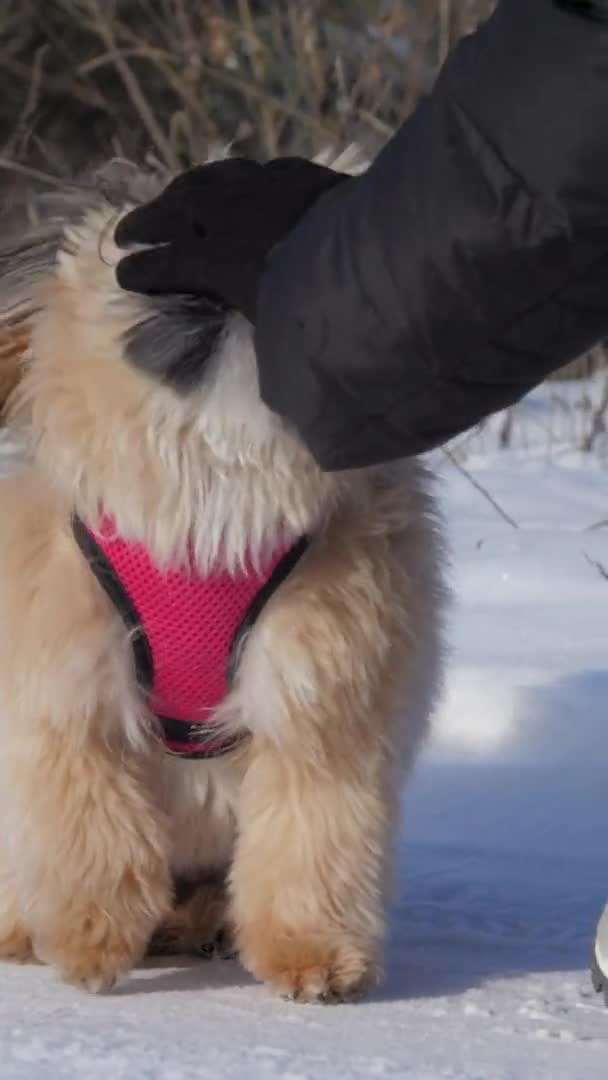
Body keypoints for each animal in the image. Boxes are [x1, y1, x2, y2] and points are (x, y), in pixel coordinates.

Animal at [0, 159, 447, 1002]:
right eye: (151, 245)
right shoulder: (75, 703)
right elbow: (92, 832)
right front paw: (89, 941)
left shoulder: (320, 708)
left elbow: (313, 840)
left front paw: (312, 954)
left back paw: (194, 921)